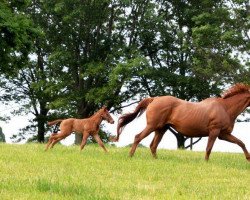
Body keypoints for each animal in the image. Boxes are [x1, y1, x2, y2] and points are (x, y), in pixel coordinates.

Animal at [114, 83, 250, 161]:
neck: (225, 108)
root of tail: (154, 99)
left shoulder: (223, 134)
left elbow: (241, 143)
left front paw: (248, 159)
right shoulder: (214, 131)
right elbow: (208, 148)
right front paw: (206, 162)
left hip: (161, 129)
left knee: (153, 145)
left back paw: (156, 160)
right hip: (152, 126)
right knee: (138, 137)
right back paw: (130, 156)